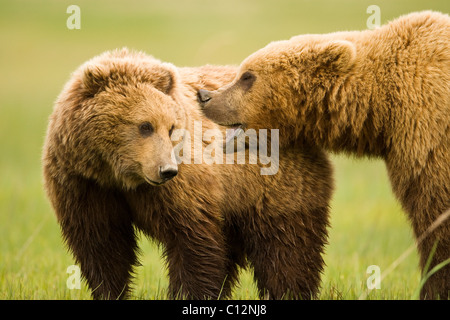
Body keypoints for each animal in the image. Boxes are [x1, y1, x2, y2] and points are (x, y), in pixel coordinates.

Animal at [43, 48, 334, 298]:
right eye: (145, 126)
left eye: (170, 127)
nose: (167, 170)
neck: (118, 175)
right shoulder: (83, 183)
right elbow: (103, 246)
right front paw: (110, 291)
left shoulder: (183, 185)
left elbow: (192, 241)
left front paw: (188, 293)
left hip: (274, 187)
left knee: (286, 248)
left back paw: (288, 290)